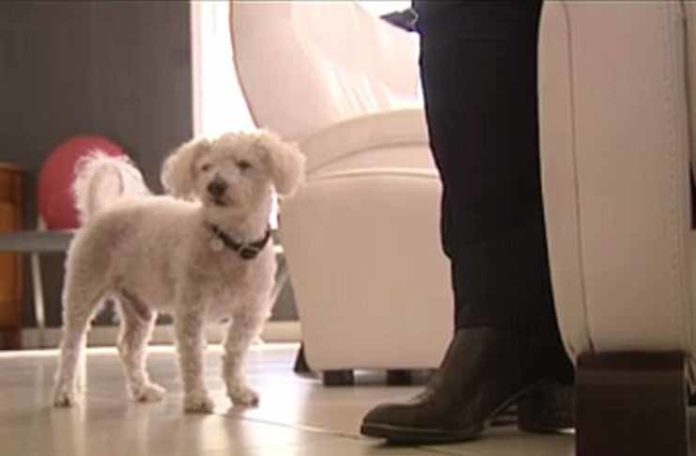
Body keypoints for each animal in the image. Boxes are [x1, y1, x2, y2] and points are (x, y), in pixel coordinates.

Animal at [52, 131, 305, 413]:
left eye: (244, 164)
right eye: (206, 167)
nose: (215, 186)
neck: (229, 241)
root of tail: (101, 211)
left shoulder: (248, 313)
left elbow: (235, 354)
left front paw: (238, 391)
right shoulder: (191, 310)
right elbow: (193, 356)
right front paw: (197, 398)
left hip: (138, 308)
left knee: (129, 349)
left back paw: (142, 389)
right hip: (83, 291)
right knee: (71, 346)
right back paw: (64, 392)